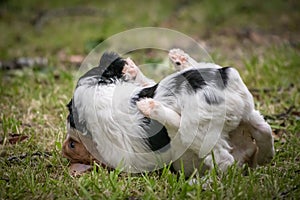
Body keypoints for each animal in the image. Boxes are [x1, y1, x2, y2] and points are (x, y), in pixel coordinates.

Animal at [63, 51, 274, 175]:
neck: (101, 94)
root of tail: (223, 78)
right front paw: (131, 69)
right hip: (246, 111)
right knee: (264, 130)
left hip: (198, 131)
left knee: (223, 161)